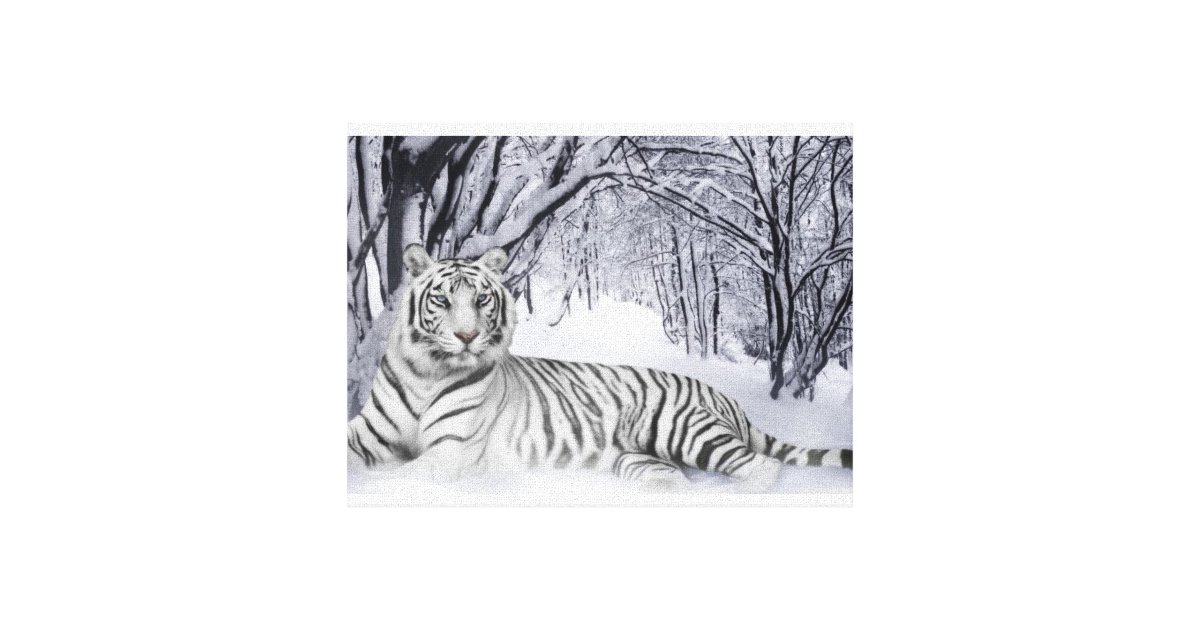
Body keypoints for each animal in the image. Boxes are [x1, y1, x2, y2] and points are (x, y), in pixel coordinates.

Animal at [347, 244, 852, 492]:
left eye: (482, 300)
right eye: (443, 300)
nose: (468, 336)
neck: (426, 372)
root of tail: (725, 397)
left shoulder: (451, 450)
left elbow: (400, 478)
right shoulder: (368, 433)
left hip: (685, 430)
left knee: (765, 467)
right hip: (639, 461)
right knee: (678, 479)